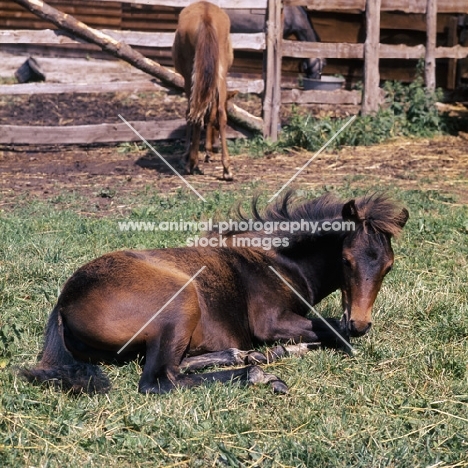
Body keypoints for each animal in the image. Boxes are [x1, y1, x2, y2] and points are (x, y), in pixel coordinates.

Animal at [21, 193, 410, 394]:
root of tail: (64, 303)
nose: (361, 323)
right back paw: (257, 373)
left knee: (175, 367)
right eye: (346, 260)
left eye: (388, 266)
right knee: (159, 380)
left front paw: (278, 351)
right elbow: (335, 334)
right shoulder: (269, 323)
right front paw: (283, 352)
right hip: (181, 303)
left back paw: (247, 357)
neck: (279, 261)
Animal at [172, 0, 234, 180]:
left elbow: (189, 113)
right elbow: (213, 113)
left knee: (195, 114)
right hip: (220, 73)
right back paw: (226, 168)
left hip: (190, 76)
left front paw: (186, 154)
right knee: (221, 113)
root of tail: (206, 17)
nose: (214, 146)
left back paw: (191, 163)